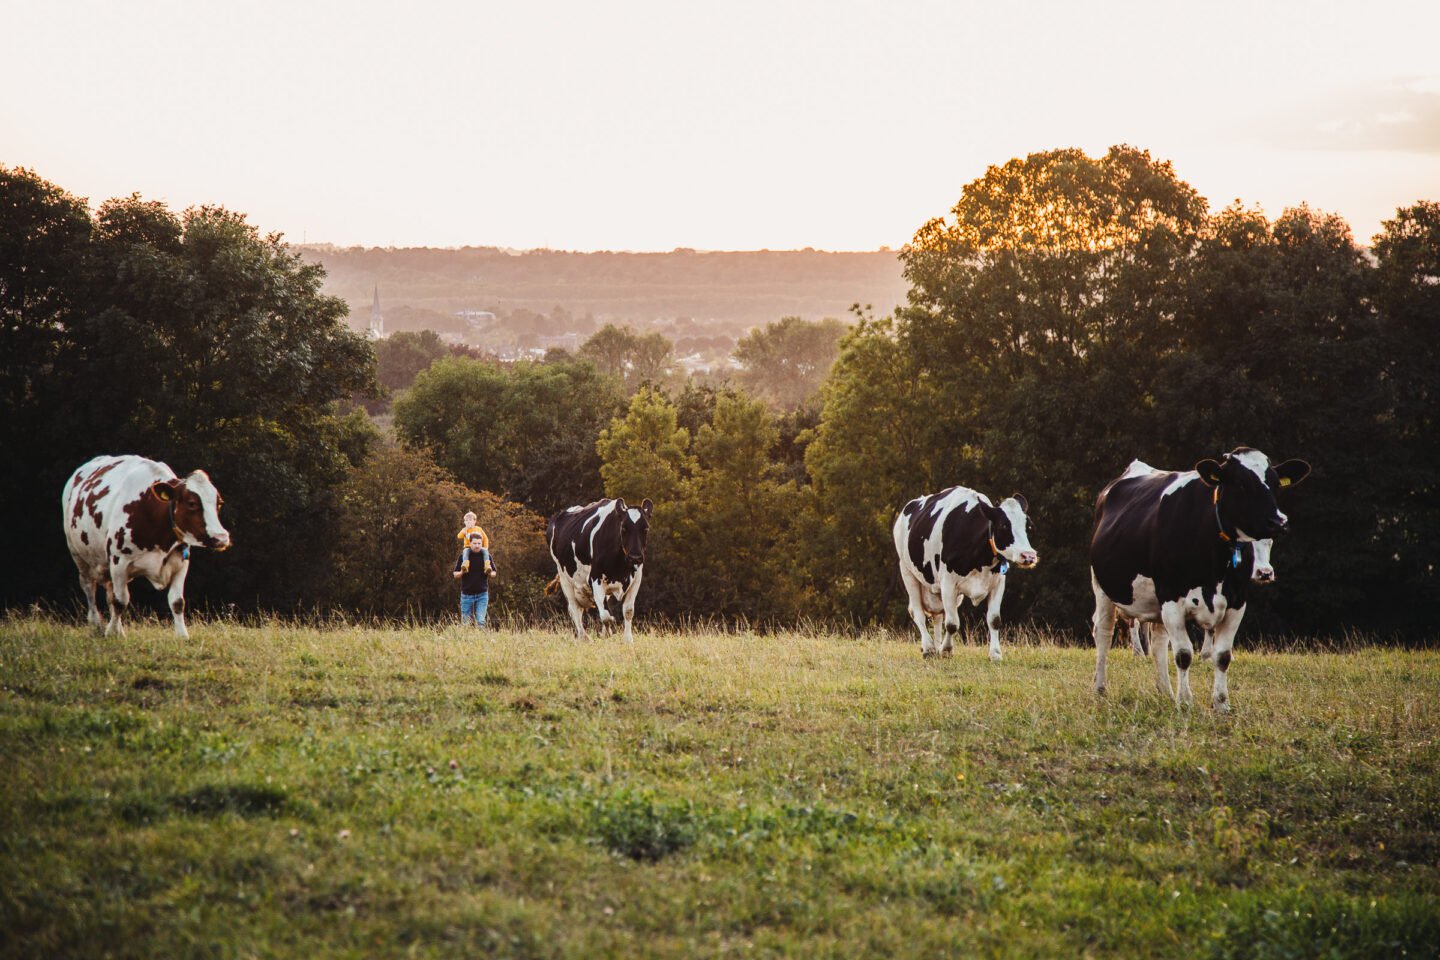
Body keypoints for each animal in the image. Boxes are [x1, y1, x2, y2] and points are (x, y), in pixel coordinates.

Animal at [63, 457, 231, 639]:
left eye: (219, 503)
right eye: (191, 503)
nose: (221, 538)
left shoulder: (180, 562)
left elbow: (177, 601)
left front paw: (182, 636)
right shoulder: (119, 562)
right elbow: (120, 601)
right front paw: (111, 633)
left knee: (109, 593)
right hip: (79, 556)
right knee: (89, 587)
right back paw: (96, 624)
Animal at [544, 500, 653, 641]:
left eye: (645, 528)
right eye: (624, 528)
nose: (635, 557)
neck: (621, 566)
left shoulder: (636, 580)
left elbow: (628, 611)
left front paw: (627, 640)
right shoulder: (595, 579)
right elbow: (607, 617)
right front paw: (608, 634)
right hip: (564, 578)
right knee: (574, 608)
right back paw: (584, 637)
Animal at [887, 489, 1036, 662]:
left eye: (1029, 526)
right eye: (1004, 525)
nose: (1029, 556)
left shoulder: (998, 583)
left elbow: (994, 620)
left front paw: (995, 654)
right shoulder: (948, 584)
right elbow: (952, 623)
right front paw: (946, 650)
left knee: (937, 616)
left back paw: (935, 646)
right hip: (907, 572)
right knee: (918, 613)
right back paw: (929, 648)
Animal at [1088, 446, 1307, 711]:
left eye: (1275, 484)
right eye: (1240, 483)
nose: (1279, 522)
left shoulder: (1237, 602)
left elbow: (1222, 656)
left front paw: (1221, 704)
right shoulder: (1172, 598)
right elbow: (1183, 654)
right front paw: (1185, 702)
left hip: (1156, 601)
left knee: (1159, 642)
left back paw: (1165, 691)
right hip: (1103, 588)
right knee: (1103, 632)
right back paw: (1100, 688)